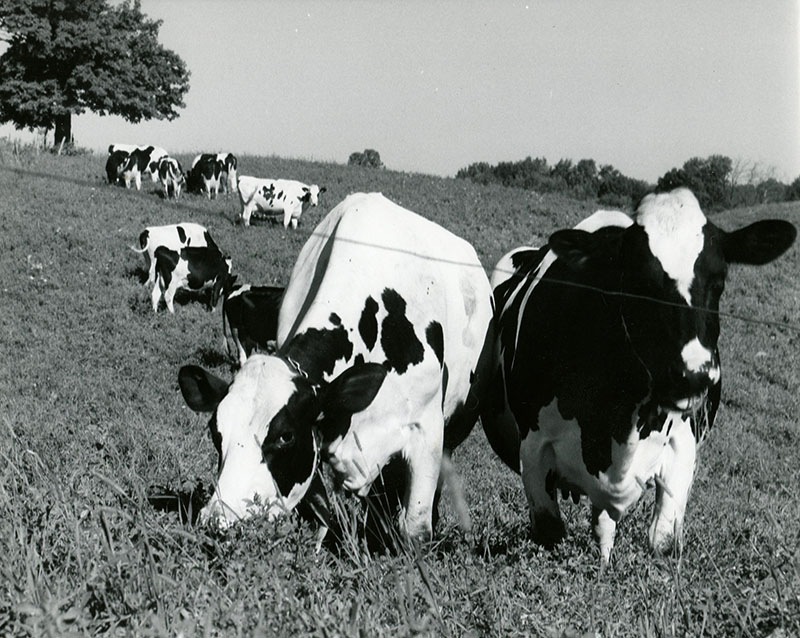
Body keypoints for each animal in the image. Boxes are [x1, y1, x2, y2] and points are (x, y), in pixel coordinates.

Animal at [177, 192, 494, 544]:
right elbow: (321, 515)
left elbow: (415, 530)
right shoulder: (317, 440)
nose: (219, 521)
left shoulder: (427, 431)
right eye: (215, 432)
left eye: (285, 436)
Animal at [478, 188, 796, 564]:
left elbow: (661, 539)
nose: (694, 374)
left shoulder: (683, 444)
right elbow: (550, 532)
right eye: (638, 283)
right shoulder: (534, 447)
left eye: (719, 282)